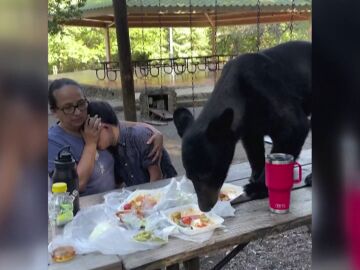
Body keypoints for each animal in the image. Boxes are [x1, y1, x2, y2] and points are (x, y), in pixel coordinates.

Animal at [173, 41, 310, 212]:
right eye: (190, 177)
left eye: (207, 175)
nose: (204, 207)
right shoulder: (250, 126)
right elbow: (253, 147)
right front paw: (255, 175)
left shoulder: (270, 90)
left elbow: (294, 127)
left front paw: (257, 187)